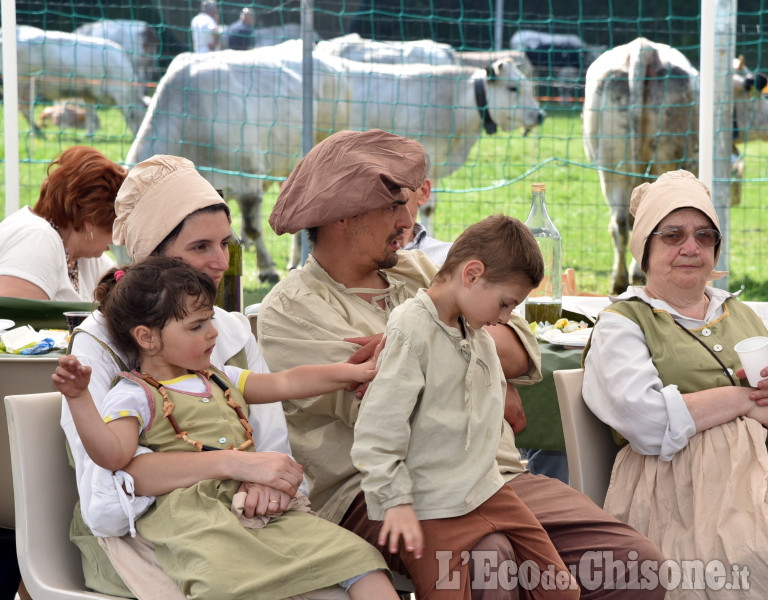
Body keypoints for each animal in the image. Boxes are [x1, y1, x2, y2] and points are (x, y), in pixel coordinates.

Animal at [1, 25, 147, 135]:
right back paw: (37, 131)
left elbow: (90, 114)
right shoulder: (93, 90)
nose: (138, 135)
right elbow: (90, 114)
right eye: (135, 116)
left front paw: (90, 134)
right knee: (24, 108)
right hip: (23, 82)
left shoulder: (88, 94)